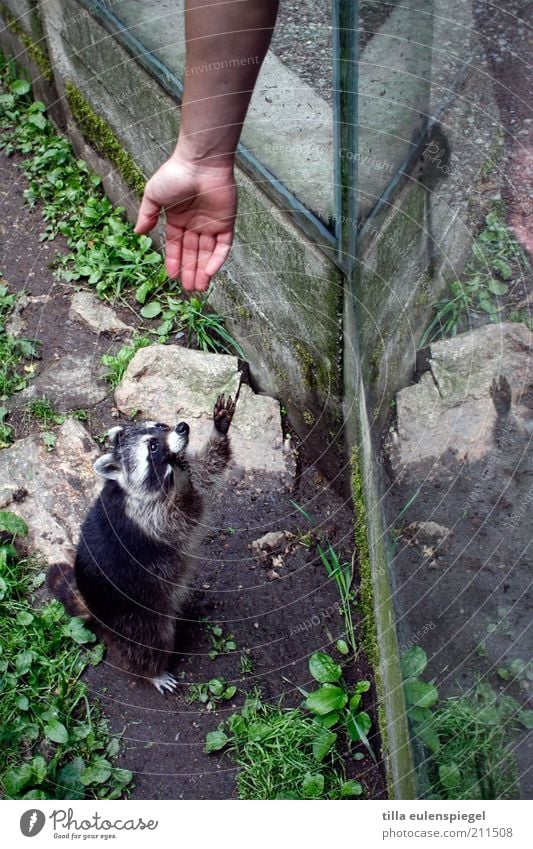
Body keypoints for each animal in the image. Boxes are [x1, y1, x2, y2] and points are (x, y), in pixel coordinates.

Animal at [47, 394, 235, 692]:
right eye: (153, 446)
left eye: (160, 426)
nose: (182, 427)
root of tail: (91, 601)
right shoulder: (147, 516)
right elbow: (185, 514)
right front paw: (184, 485)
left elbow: (207, 466)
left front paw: (220, 428)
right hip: (131, 613)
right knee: (147, 643)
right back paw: (152, 671)